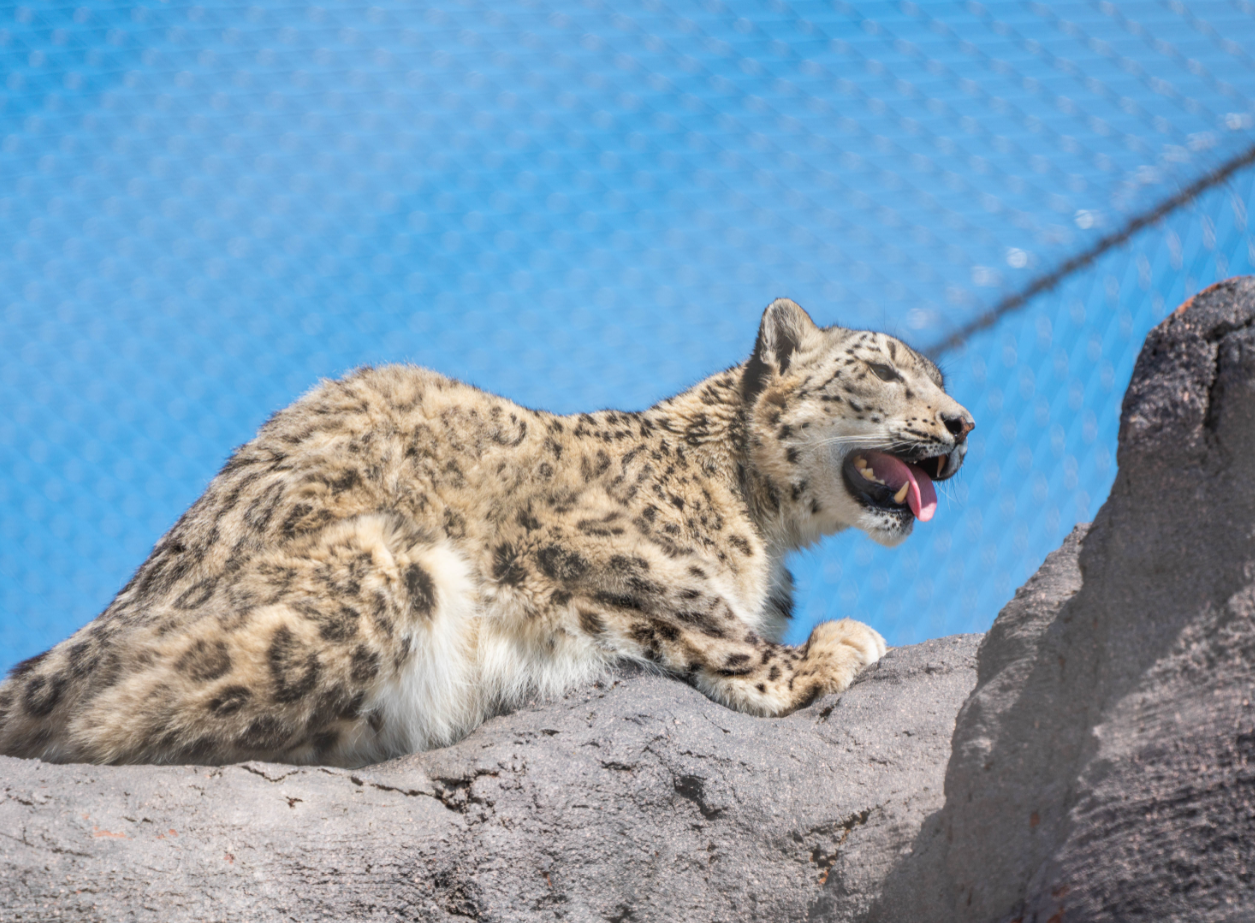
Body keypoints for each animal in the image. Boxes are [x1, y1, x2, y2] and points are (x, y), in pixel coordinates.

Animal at [0, 298, 973, 767]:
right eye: (888, 372)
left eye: (938, 378)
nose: (962, 422)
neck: (763, 528)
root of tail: (109, 615)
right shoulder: (601, 544)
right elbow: (707, 621)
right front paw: (825, 652)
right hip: (382, 569)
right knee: (116, 723)